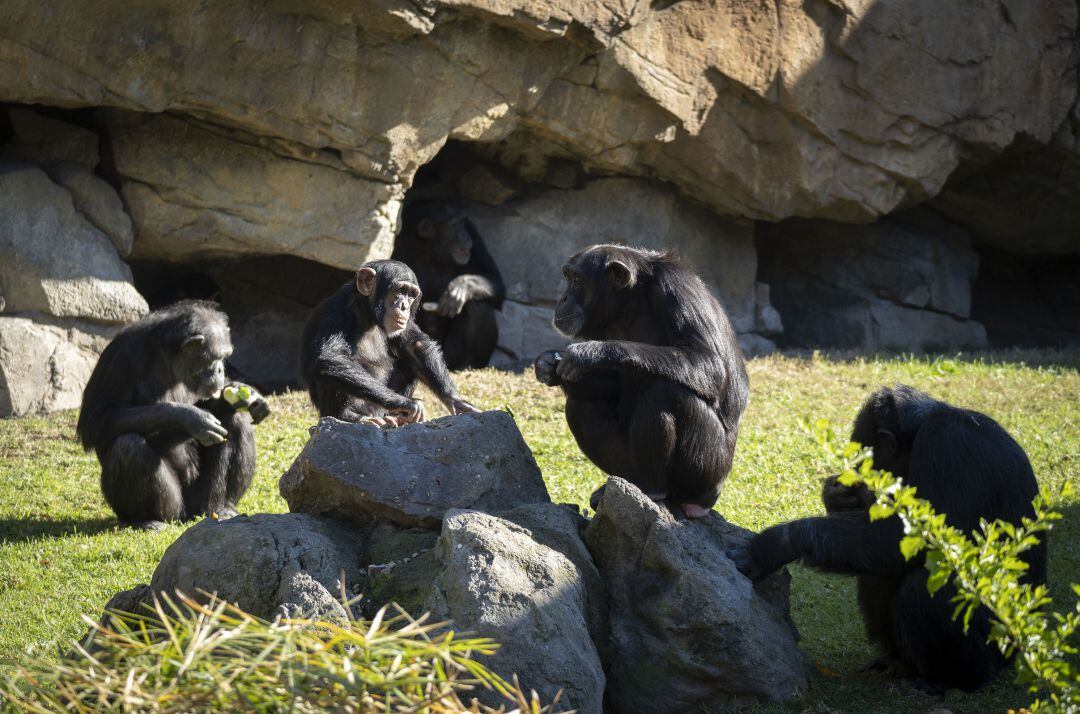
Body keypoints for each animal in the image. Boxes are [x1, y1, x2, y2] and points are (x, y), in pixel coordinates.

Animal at [76, 300, 270, 529]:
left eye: (224, 357)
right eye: (215, 357)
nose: (221, 369)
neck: (169, 357)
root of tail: (186, 516)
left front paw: (245, 394)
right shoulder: (121, 354)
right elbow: (97, 417)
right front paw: (191, 418)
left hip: (202, 501)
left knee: (237, 421)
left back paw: (224, 507)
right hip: (173, 506)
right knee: (128, 446)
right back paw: (144, 519)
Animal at [298, 257, 479, 423]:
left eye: (411, 295)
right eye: (400, 290)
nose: (404, 306)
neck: (368, 314)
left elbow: (415, 346)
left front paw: (456, 401)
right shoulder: (335, 312)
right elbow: (330, 356)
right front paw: (408, 404)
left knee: (409, 364)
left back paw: (396, 417)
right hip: (345, 409)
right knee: (333, 368)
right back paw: (350, 416)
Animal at [390, 200, 503, 367]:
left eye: (462, 223)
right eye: (454, 225)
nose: (464, 235)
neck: (429, 250)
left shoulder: (474, 234)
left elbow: (493, 278)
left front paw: (460, 287)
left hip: (449, 356)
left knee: (479, 307)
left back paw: (467, 365)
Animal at [533, 245, 751, 518]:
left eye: (578, 279)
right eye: (567, 276)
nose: (562, 298)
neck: (630, 303)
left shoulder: (676, 288)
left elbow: (709, 362)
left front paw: (590, 353)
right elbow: (612, 383)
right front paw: (549, 363)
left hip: (705, 472)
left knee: (664, 391)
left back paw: (651, 488)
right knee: (581, 403)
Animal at [725, 384, 1045, 691]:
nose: (858, 474)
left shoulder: (950, 449)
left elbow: (911, 539)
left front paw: (770, 545)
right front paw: (839, 494)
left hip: (996, 650)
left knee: (927, 587)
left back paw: (948, 679)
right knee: (876, 573)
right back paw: (896, 663)